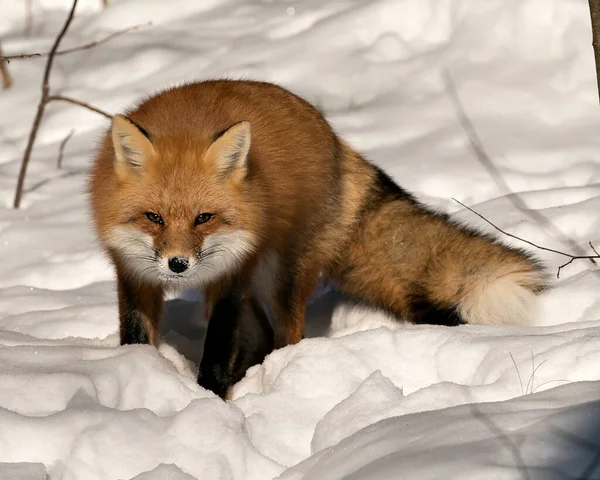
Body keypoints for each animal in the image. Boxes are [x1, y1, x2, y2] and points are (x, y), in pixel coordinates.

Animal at [88, 80, 548, 400]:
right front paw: (140, 372)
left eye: (204, 218)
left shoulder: (230, 278)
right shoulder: (132, 272)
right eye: (154, 218)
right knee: (260, 335)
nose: (179, 265)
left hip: (281, 275)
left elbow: (217, 348)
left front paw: (209, 400)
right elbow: (135, 334)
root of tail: (334, 138)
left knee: (286, 335)